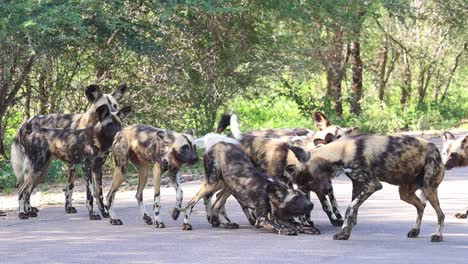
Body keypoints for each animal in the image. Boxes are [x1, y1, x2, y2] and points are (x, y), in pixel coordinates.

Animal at [10, 83, 128, 218]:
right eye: (103, 107)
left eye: (115, 105)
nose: (115, 113)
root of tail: (24, 123)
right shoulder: (82, 166)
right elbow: (84, 192)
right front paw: (91, 213)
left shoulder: (97, 167)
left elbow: (97, 193)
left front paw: (104, 212)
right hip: (36, 168)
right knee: (22, 189)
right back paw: (23, 212)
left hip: (42, 169)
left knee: (27, 190)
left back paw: (29, 210)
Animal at [181, 136, 312, 235]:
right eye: (295, 198)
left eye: (304, 196)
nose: (311, 204)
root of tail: (217, 143)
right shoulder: (262, 219)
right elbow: (277, 224)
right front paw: (287, 229)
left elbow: (294, 223)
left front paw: (305, 227)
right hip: (213, 183)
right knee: (192, 203)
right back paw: (186, 224)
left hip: (228, 186)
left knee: (216, 204)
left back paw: (225, 223)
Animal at [288, 134, 446, 241]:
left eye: (307, 181)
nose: (305, 198)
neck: (341, 151)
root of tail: (436, 148)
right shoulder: (357, 184)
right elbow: (352, 211)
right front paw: (346, 232)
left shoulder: (372, 185)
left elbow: (350, 208)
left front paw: (344, 232)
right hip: (405, 193)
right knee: (421, 206)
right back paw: (415, 231)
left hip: (429, 189)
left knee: (441, 214)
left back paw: (437, 235)